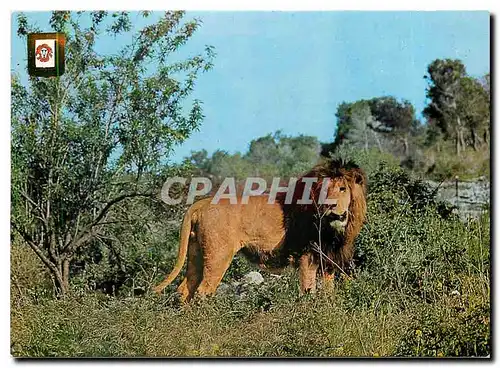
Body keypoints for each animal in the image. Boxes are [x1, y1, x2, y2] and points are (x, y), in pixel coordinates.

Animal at [152, 158, 368, 302]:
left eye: (342, 189)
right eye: (324, 190)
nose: (329, 206)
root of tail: (202, 202)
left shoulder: (328, 260)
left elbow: (329, 294)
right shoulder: (307, 256)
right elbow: (308, 291)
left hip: (196, 252)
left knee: (185, 289)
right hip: (218, 256)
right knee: (203, 291)